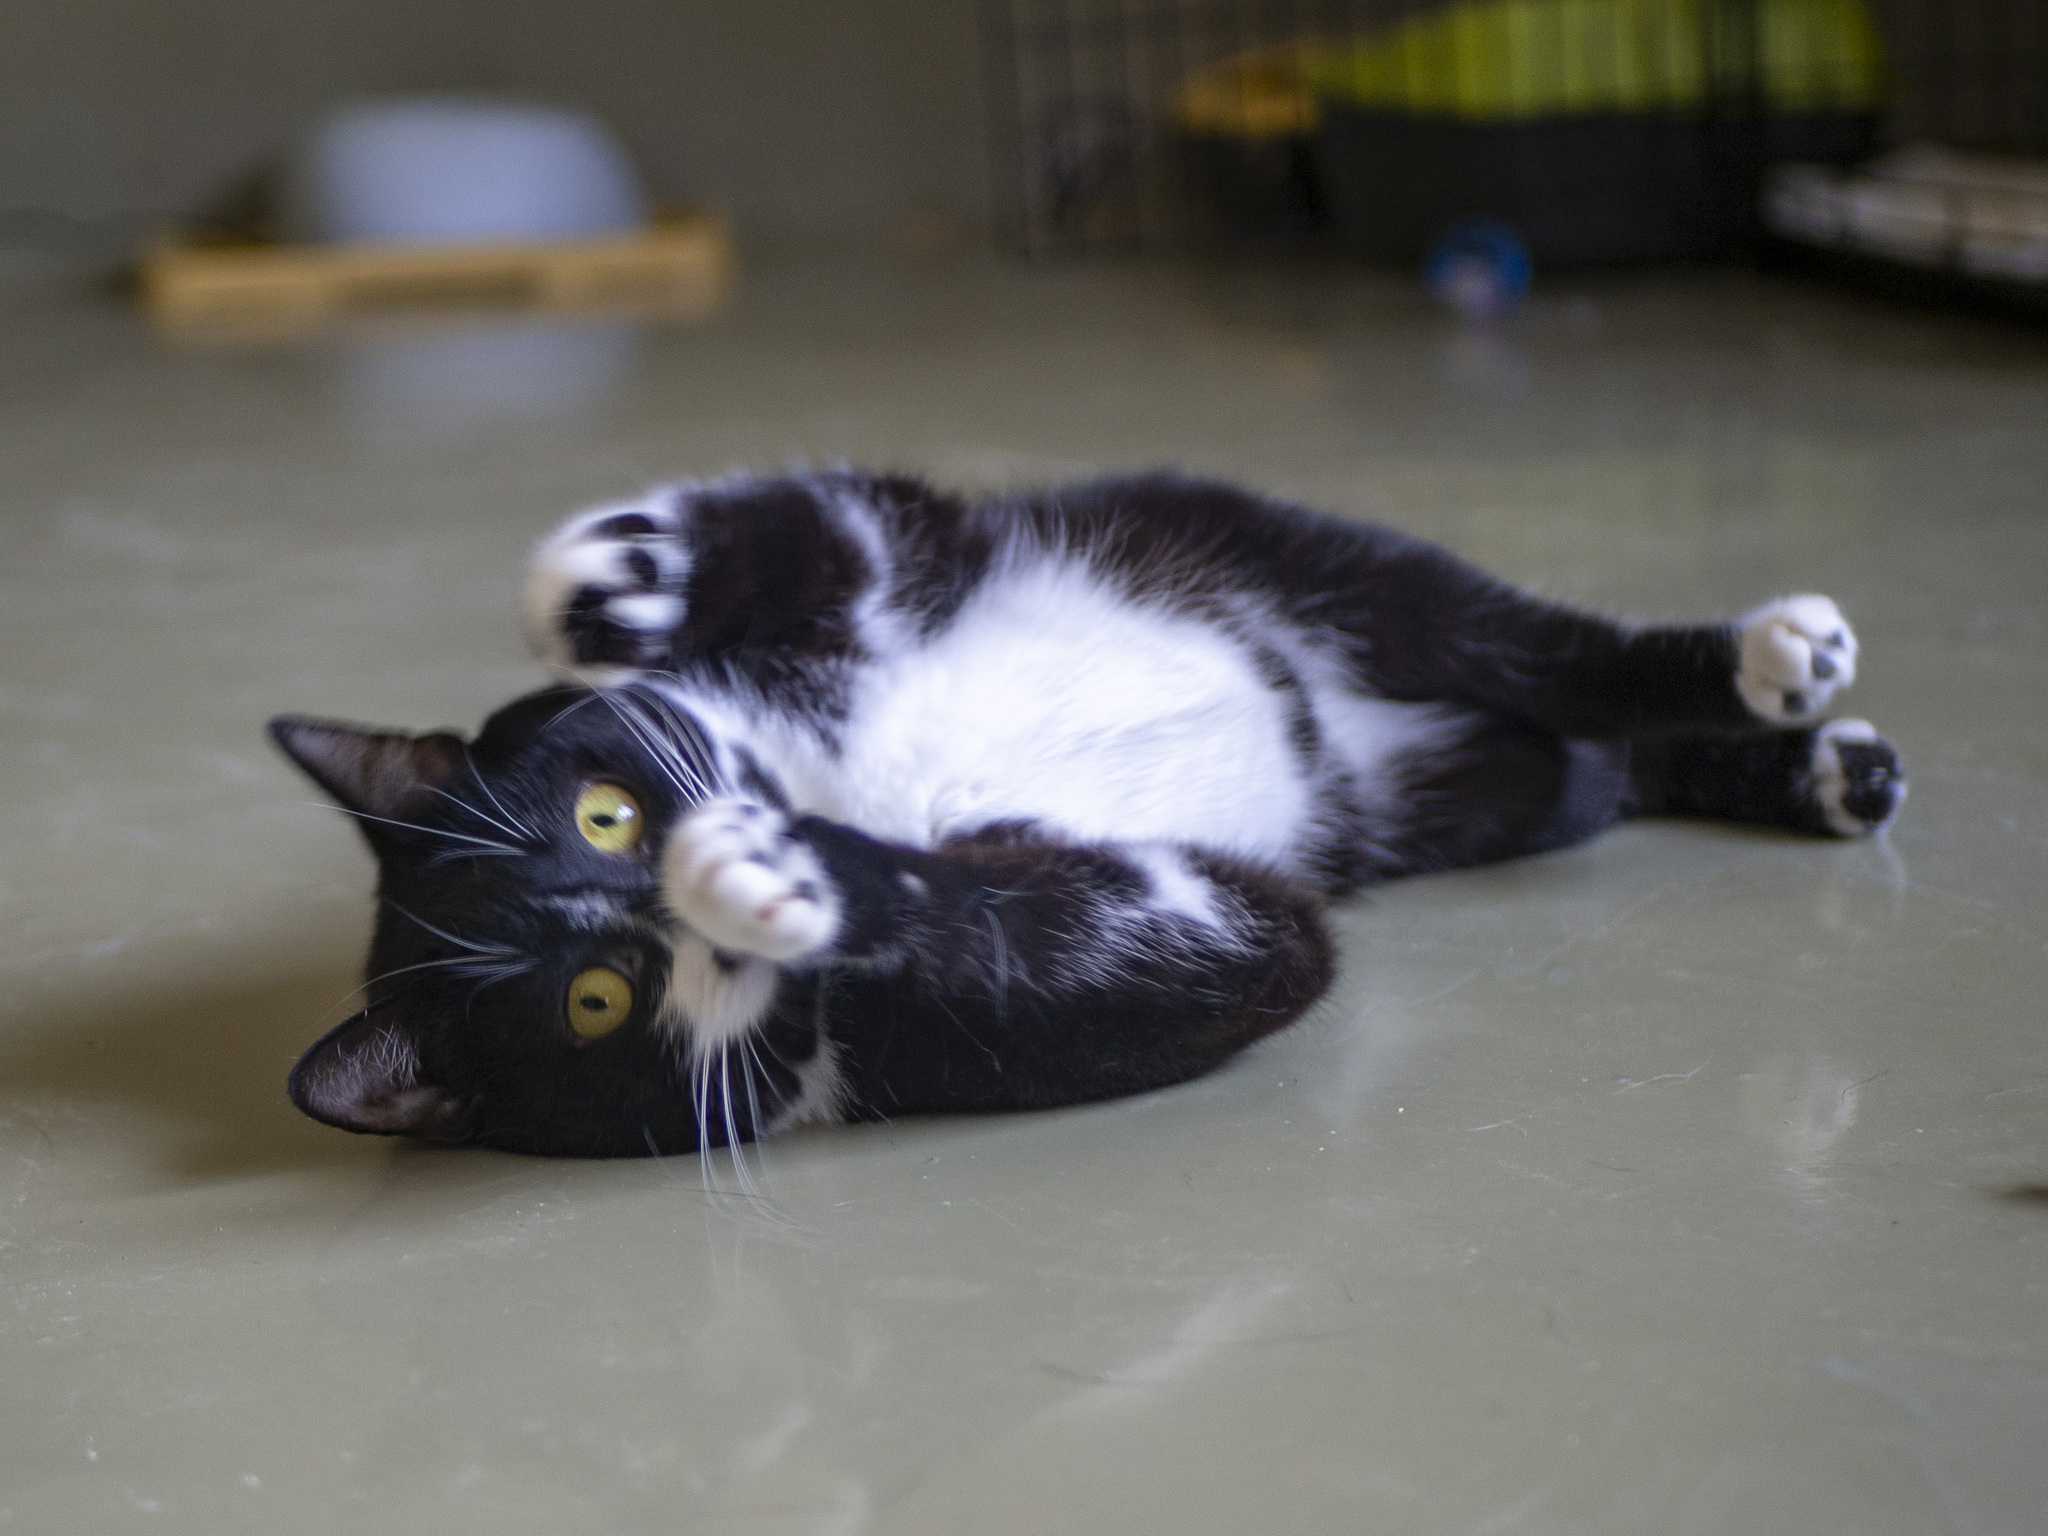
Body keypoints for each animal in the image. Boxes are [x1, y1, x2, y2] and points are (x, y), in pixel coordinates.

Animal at [268, 468, 1900, 1155]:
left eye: (605, 815)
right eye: (595, 1004)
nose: (667, 871)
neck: (836, 780)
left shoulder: (895, 553)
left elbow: (815, 516)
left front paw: (606, 581)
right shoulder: (1170, 940)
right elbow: (1132, 939)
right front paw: (790, 882)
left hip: (1267, 546)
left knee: (1533, 642)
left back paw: (1774, 670)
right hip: (1465, 796)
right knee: (1583, 757)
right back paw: (1807, 762)